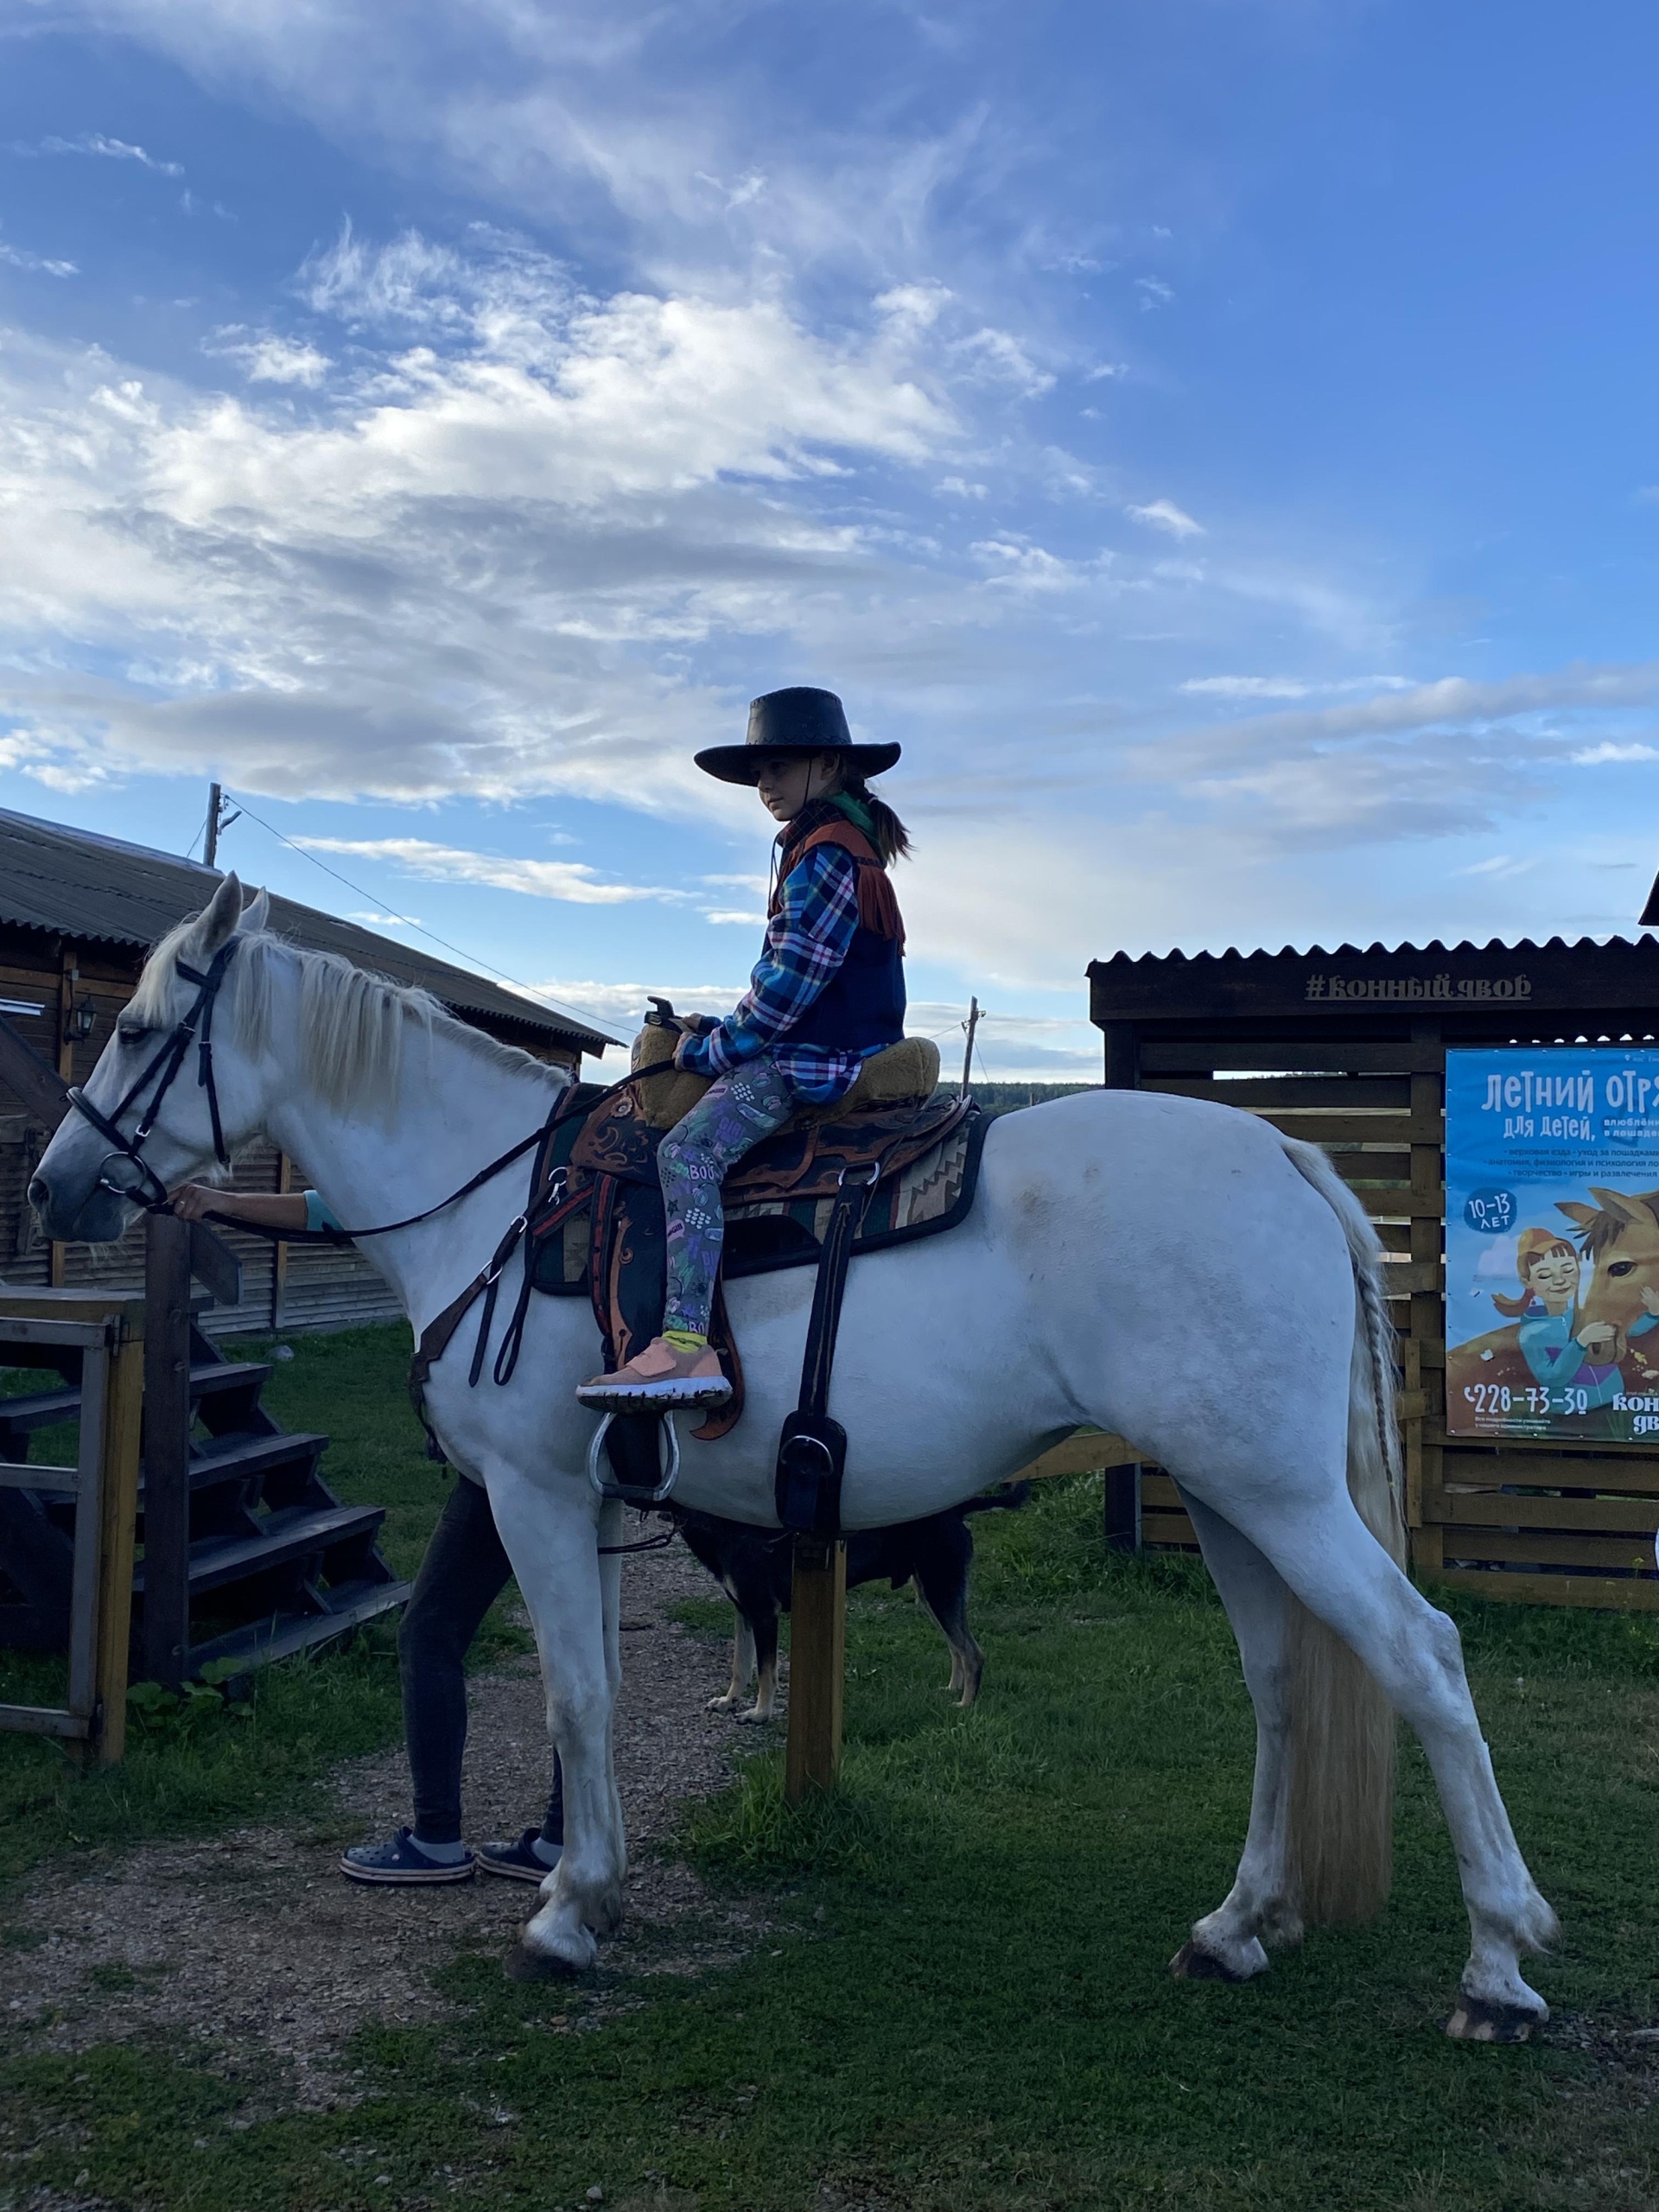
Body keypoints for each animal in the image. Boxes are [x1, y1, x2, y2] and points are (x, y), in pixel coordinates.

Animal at [29, 875, 1557, 2035]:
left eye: (143, 1028)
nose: (55, 1186)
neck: (493, 1205)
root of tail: (1289, 1157)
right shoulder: (593, 1502)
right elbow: (599, 1695)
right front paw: (589, 1883)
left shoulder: (530, 1494)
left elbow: (574, 1699)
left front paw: (564, 1922)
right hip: (1235, 1494)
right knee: (1286, 1681)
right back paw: (1240, 1923)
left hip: (1277, 1494)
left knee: (1422, 1658)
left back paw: (1496, 1965)